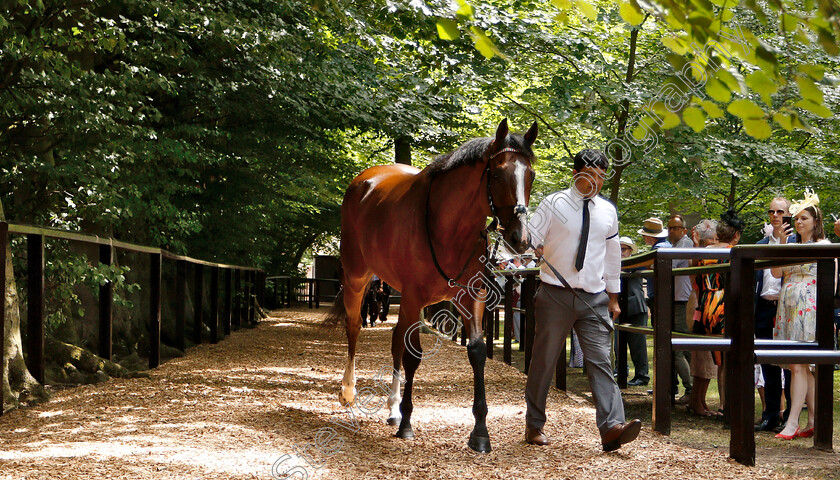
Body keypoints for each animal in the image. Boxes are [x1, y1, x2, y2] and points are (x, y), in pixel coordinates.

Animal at [328, 118, 540, 452]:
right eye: (496, 173)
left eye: (529, 175)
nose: (520, 237)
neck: (448, 226)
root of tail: (363, 182)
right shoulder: (414, 296)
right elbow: (413, 354)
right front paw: (407, 423)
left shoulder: (470, 296)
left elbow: (477, 351)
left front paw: (480, 432)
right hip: (357, 277)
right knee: (354, 327)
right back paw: (349, 392)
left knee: (395, 337)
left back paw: (392, 407)